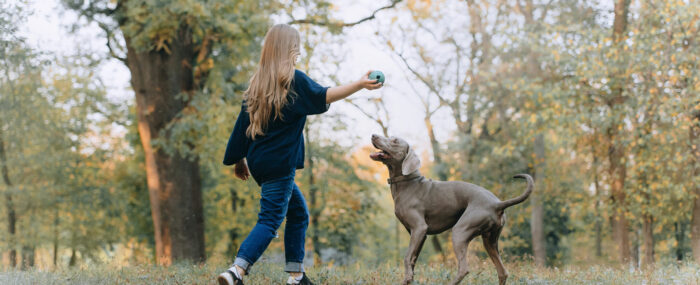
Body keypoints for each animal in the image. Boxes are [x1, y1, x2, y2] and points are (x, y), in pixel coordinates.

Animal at [370, 134, 532, 284]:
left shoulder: (419, 228)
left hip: (460, 231)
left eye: (395, 141)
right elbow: (412, 260)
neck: (407, 182)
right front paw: (409, 279)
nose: (373, 135)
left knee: (464, 268)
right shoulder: (419, 234)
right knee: (503, 272)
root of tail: (497, 204)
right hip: (489, 240)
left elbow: (406, 257)